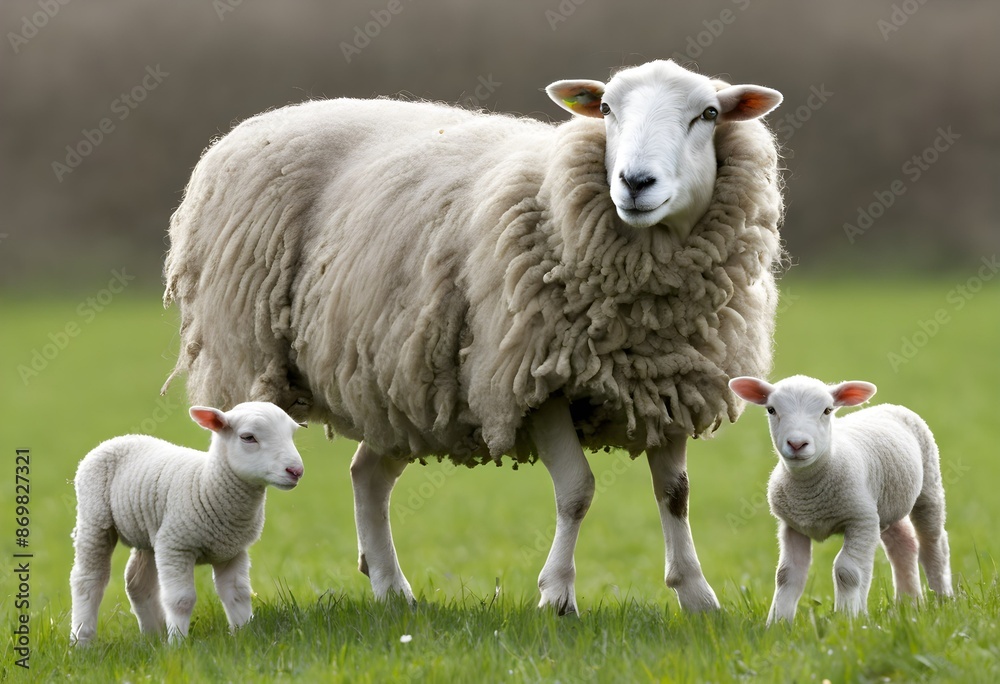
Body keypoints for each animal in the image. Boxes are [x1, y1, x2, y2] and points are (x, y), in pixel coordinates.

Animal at [69, 402, 304, 646]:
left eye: (292, 434)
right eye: (248, 437)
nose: (296, 471)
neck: (205, 482)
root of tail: (119, 439)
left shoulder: (232, 551)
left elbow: (237, 594)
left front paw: (243, 635)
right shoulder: (176, 546)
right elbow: (180, 599)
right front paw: (177, 645)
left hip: (150, 532)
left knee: (137, 582)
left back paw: (153, 637)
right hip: (94, 520)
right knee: (87, 579)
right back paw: (82, 641)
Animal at [162, 59, 785, 615]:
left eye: (708, 114)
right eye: (607, 109)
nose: (634, 183)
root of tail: (256, 123)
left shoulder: (671, 384)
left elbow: (675, 494)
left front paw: (697, 597)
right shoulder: (529, 379)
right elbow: (577, 491)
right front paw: (557, 595)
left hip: (397, 380)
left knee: (368, 474)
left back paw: (391, 588)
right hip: (249, 358)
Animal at [728, 374, 953, 624]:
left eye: (827, 410)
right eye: (771, 409)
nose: (797, 444)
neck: (808, 492)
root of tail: (889, 406)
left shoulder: (861, 520)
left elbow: (847, 571)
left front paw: (846, 619)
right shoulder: (793, 525)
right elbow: (786, 574)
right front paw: (778, 623)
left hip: (928, 485)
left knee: (933, 543)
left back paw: (943, 598)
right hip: (885, 505)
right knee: (904, 544)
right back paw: (909, 603)